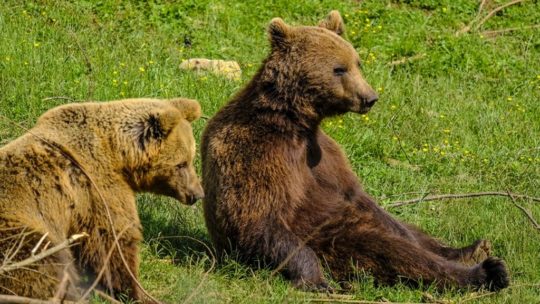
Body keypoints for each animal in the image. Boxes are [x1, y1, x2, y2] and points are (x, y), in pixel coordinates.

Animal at [0, 98, 202, 302]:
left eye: (191, 158)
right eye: (181, 164)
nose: (197, 194)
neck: (118, 155)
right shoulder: (97, 187)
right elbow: (112, 239)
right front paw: (134, 291)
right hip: (18, 231)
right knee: (43, 263)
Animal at [200, 10, 508, 292]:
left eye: (357, 63)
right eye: (339, 69)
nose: (369, 98)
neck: (294, 123)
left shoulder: (325, 155)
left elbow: (359, 196)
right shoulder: (257, 154)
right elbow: (259, 218)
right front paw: (314, 278)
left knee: (409, 233)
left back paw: (470, 249)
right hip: (331, 238)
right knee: (387, 250)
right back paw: (485, 272)